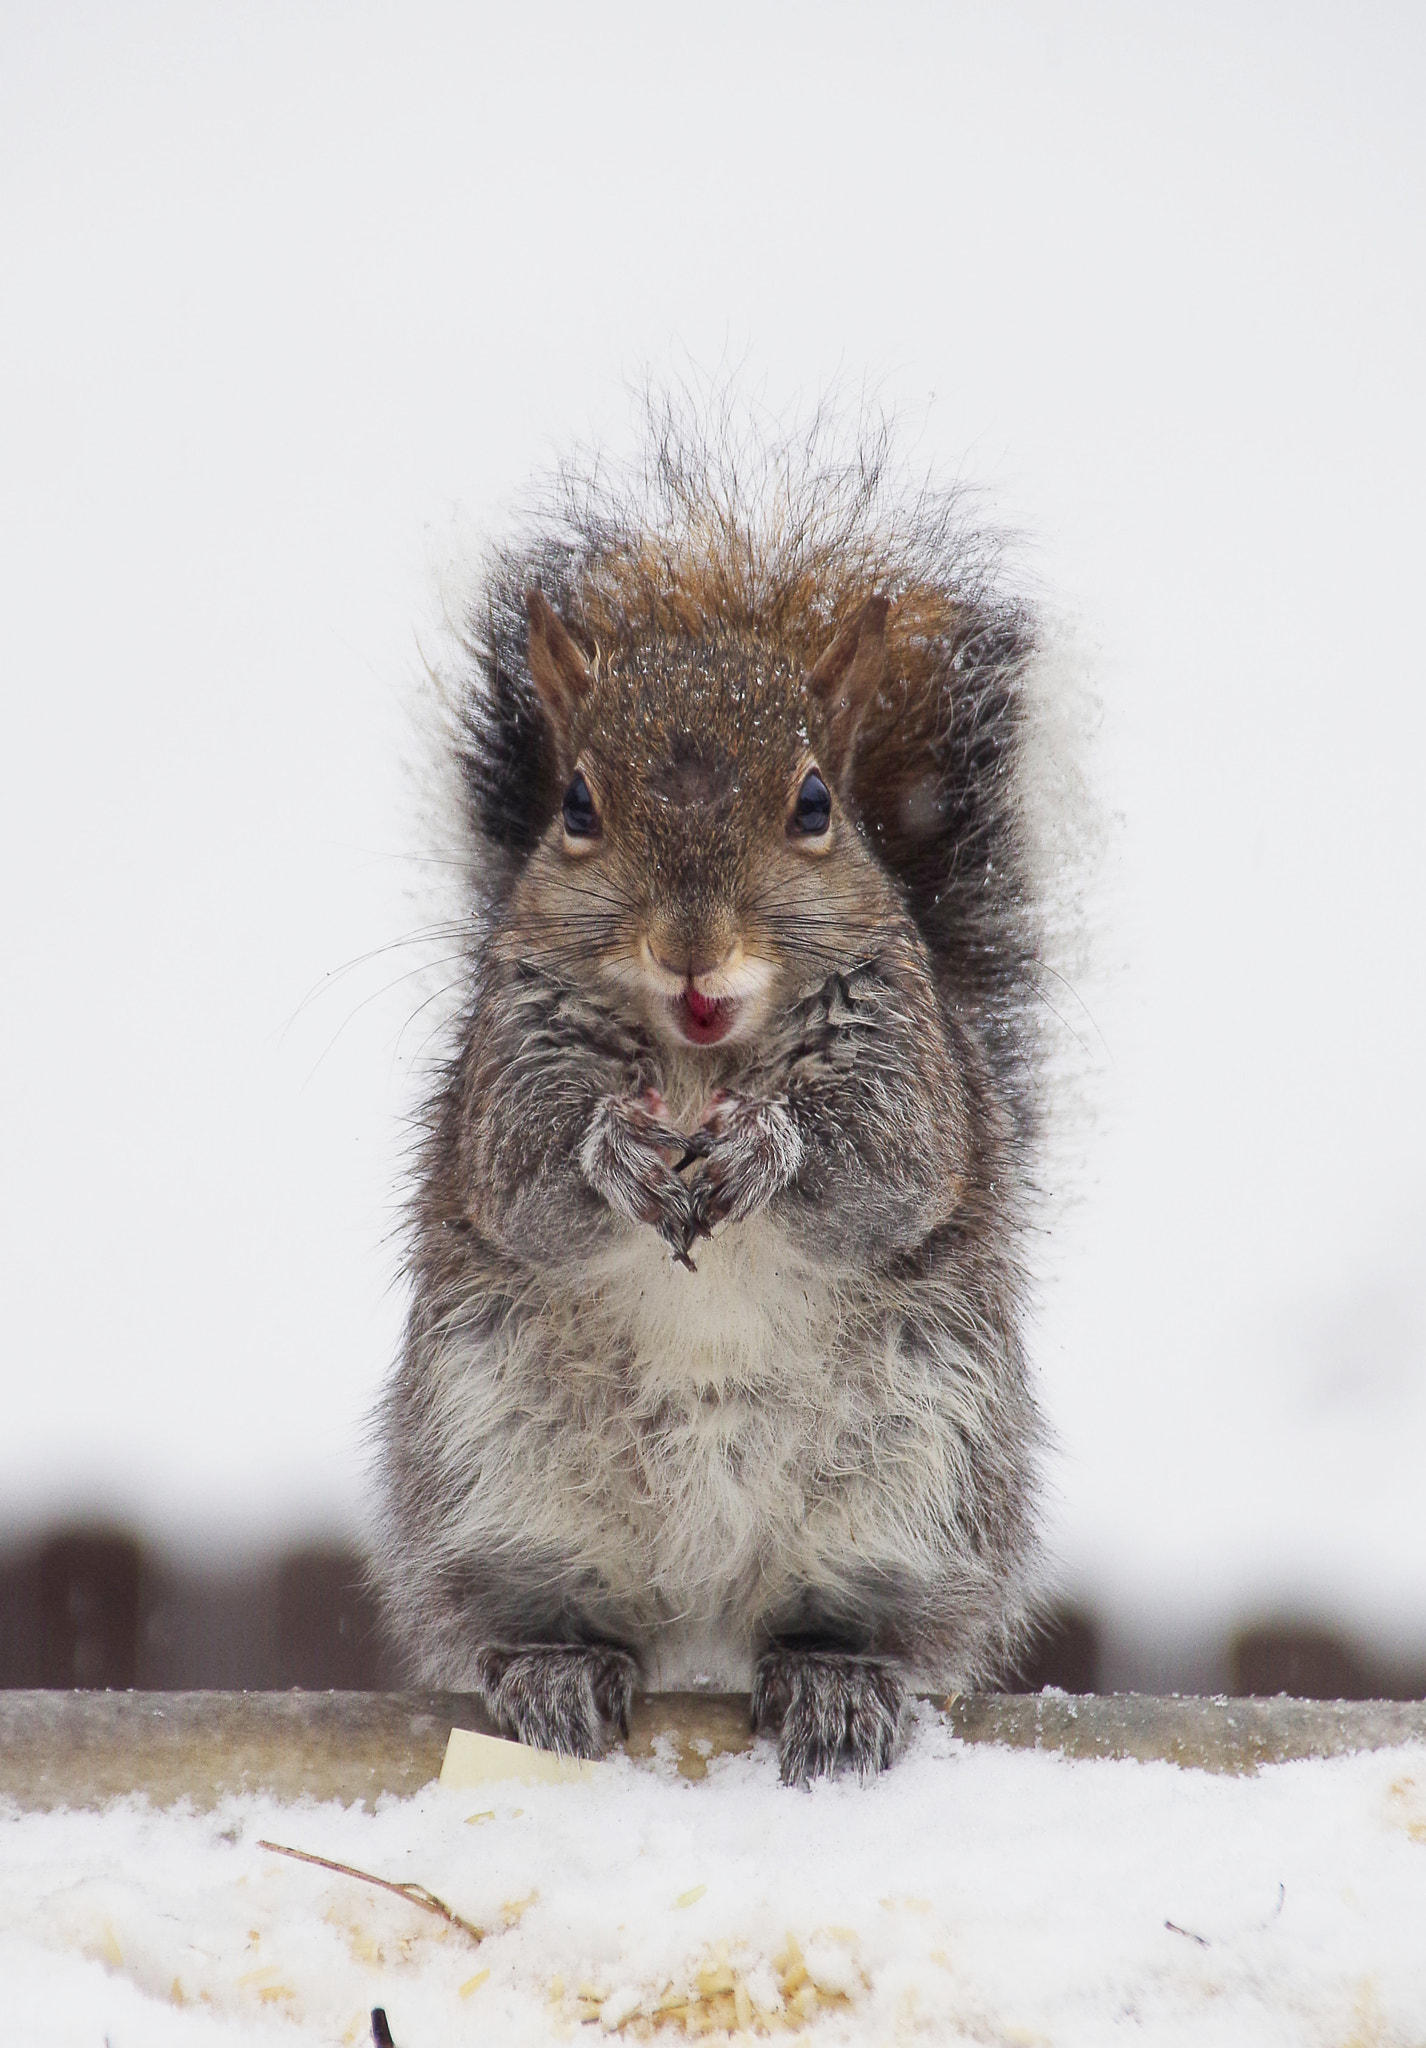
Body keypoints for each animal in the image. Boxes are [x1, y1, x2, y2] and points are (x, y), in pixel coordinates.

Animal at [370, 407, 1065, 1785]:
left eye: (814, 803)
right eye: (577, 805)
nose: (691, 946)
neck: (696, 1066)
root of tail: (703, 1591)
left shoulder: (908, 1067)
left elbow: (881, 1171)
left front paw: (766, 1149)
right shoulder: (504, 1064)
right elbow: (526, 1177)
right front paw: (614, 1153)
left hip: (923, 1480)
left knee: (838, 1618)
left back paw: (838, 1683)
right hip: (493, 1474)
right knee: (558, 1608)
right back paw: (559, 1664)